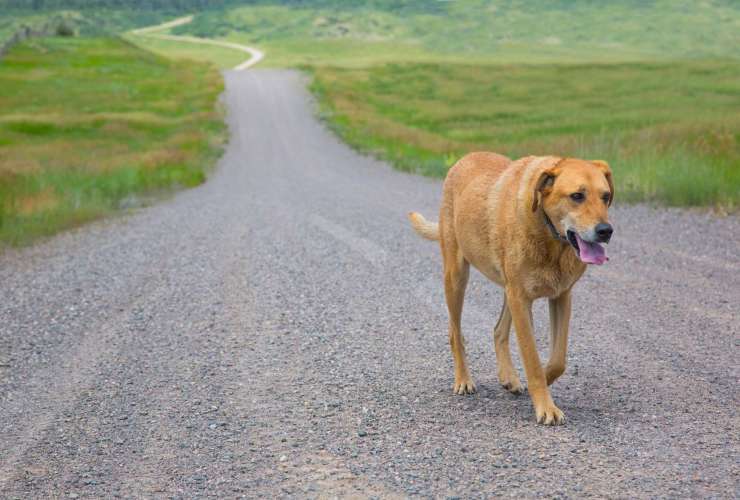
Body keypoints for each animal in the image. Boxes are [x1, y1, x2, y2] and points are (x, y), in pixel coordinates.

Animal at [410, 150, 612, 424]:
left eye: (606, 196)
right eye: (577, 196)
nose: (606, 231)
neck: (550, 237)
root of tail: (465, 157)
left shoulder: (560, 296)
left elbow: (558, 360)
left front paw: (541, 382)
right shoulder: (521, 298)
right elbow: (532, 358)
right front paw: (545, 405)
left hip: (509, 289)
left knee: (498, 330)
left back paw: (509, 377)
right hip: (457, 277)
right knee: (455, 333)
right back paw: (463, 379)